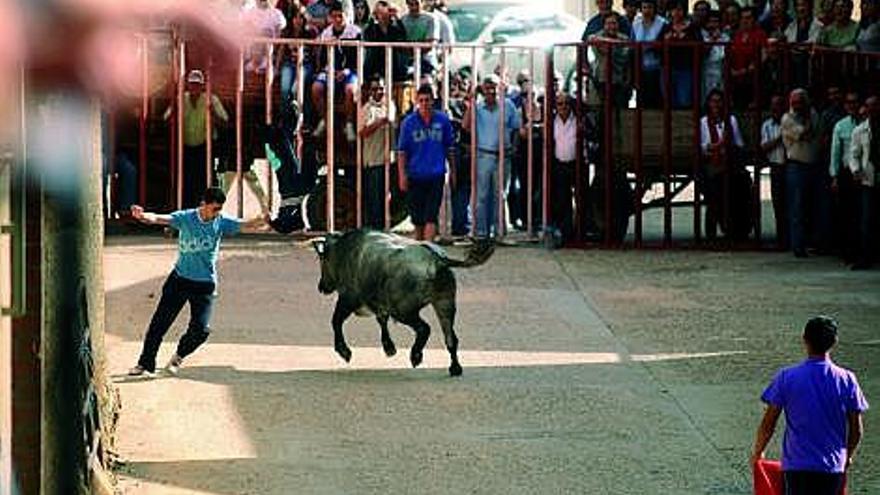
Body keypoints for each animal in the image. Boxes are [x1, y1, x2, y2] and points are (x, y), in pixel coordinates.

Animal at [312, 231, 496, 378]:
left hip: (404, 311)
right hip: (445, 303)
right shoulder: (380, 304)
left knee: (424, 328)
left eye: (322, 259)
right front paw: (389, 348)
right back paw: (455, 368)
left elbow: (336, 321)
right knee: (451, 337)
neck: (343, 251)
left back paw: (415, 356)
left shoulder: (347, 299)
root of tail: (437, 260)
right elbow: (382, 321)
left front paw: (344, 352)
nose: (321, 287)